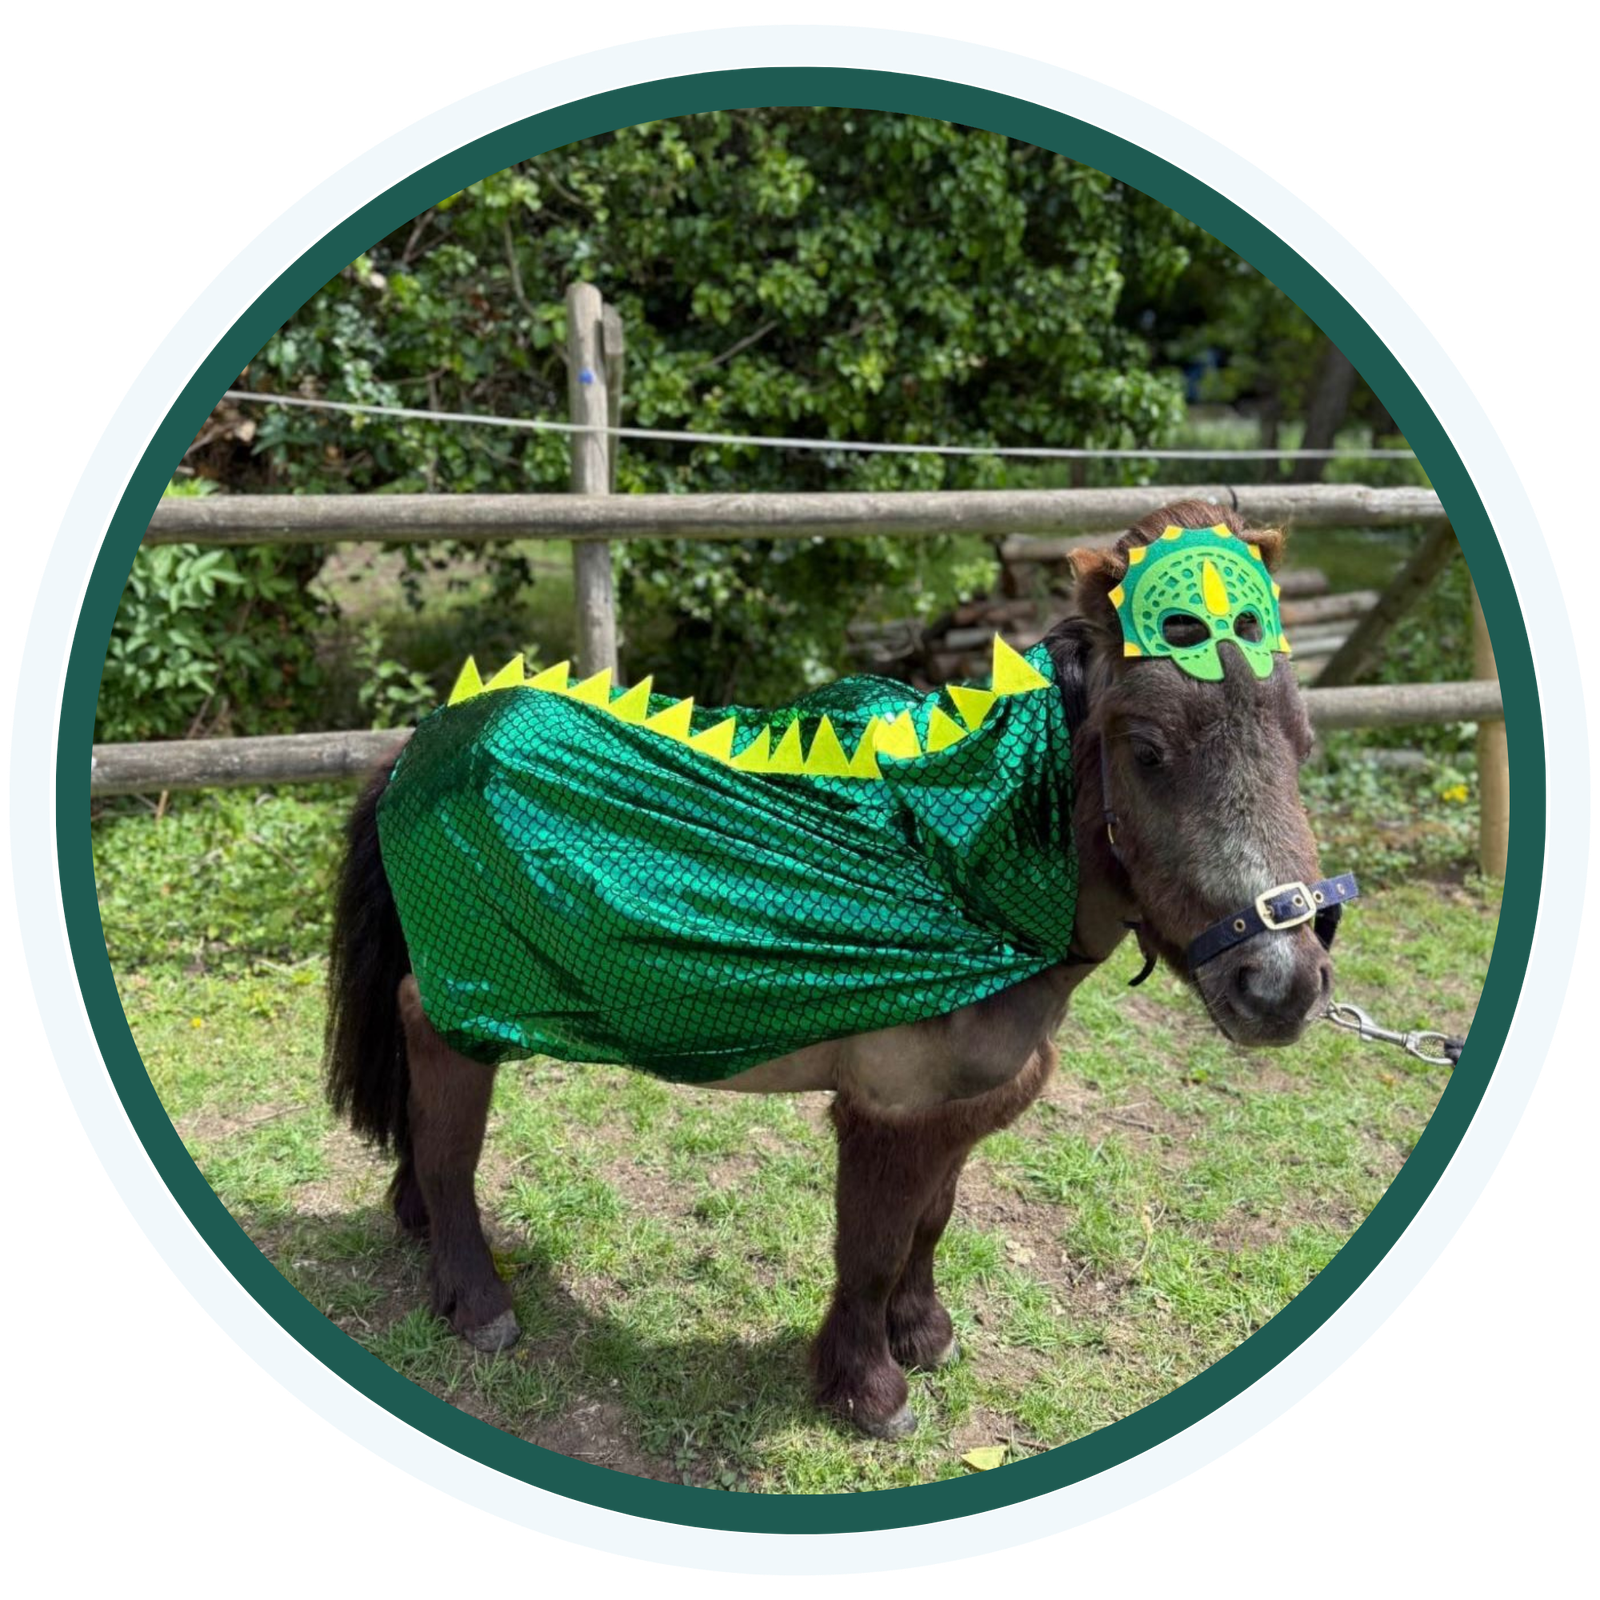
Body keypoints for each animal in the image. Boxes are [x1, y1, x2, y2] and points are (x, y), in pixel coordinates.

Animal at [323, 499, 1346, 1441]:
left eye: (1305, 742)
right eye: (1147, 750)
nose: (1281, 985)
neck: (964, 866)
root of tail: (421, 742)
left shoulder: (958, 1109)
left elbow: (931, 1224)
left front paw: (922, 1336)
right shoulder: (887, 1110)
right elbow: (874, 1248)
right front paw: (869, 1391)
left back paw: (419, 1223)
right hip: (464, 1004)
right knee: (447, 1127)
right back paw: (476, 1299)